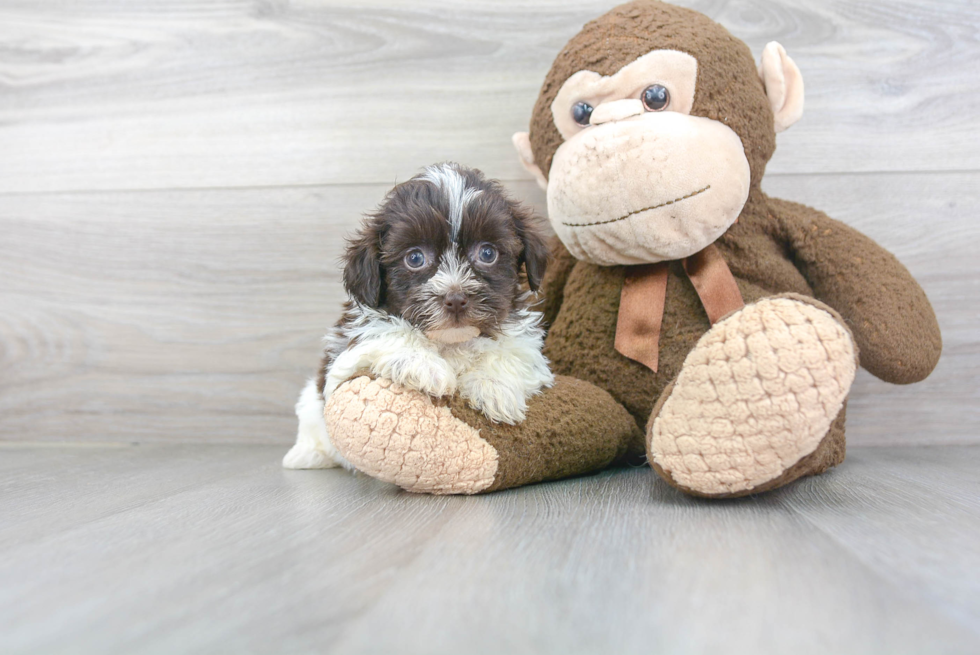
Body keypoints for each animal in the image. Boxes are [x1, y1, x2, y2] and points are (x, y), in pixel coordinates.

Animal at [288, 164, 556, 472]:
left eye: (488, 253)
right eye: (415, 258)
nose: (455, 299)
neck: (451, 342)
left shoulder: (526, 346)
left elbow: (511, 353)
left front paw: (494, 388)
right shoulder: (347, 349)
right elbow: (387, 333)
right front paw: (425, 366)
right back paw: (306, 454)